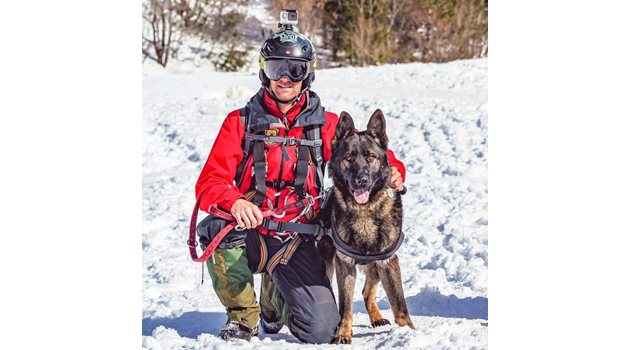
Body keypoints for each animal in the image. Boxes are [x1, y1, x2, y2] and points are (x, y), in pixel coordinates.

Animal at [320, 109, 414, 344]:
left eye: (371, 157)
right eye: (349, 158)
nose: (361, 180)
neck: (365, 210)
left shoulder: (388, 262)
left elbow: (400, 303)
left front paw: (409, 331)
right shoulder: (344, 264)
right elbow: (345, 307)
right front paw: (343, 333)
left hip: (376, 265)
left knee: (366, 291)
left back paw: (377, 317)